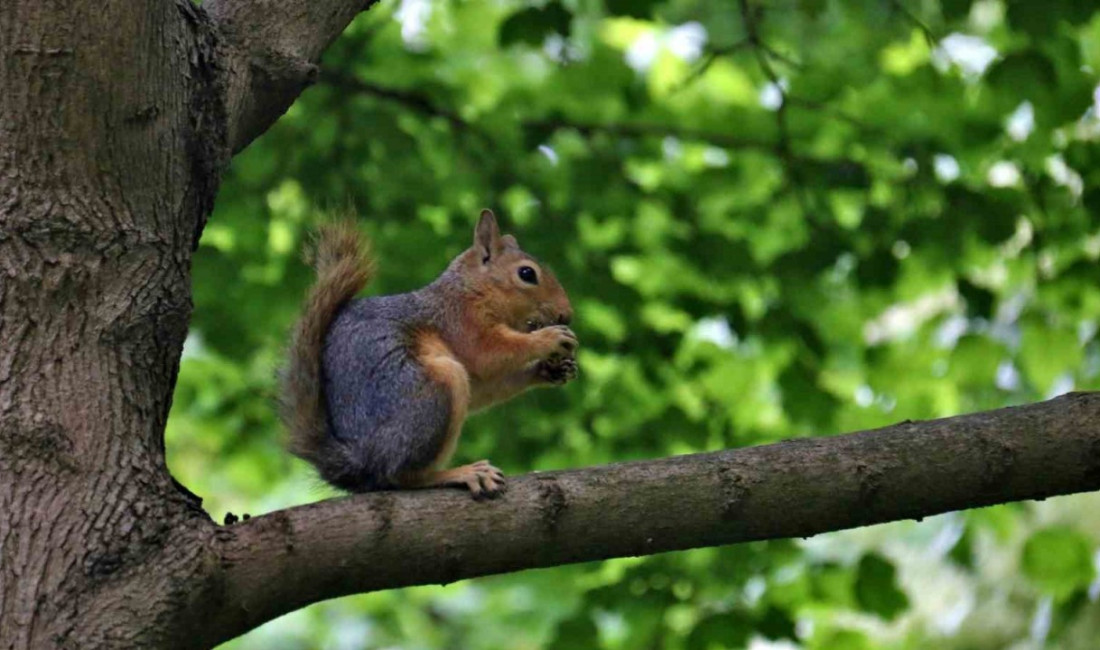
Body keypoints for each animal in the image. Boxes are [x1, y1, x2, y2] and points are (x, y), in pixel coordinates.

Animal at [279, 208, 580, 499]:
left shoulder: (475, 373)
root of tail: (361, 462)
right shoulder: (462, 323)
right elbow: (490, 354)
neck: (473, 290)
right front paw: (549, 338)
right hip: (434, 391)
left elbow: (486, 388)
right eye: (527, 274)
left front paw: (550, 370)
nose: (566, 314)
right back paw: (461, 473)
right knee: (399, 475)